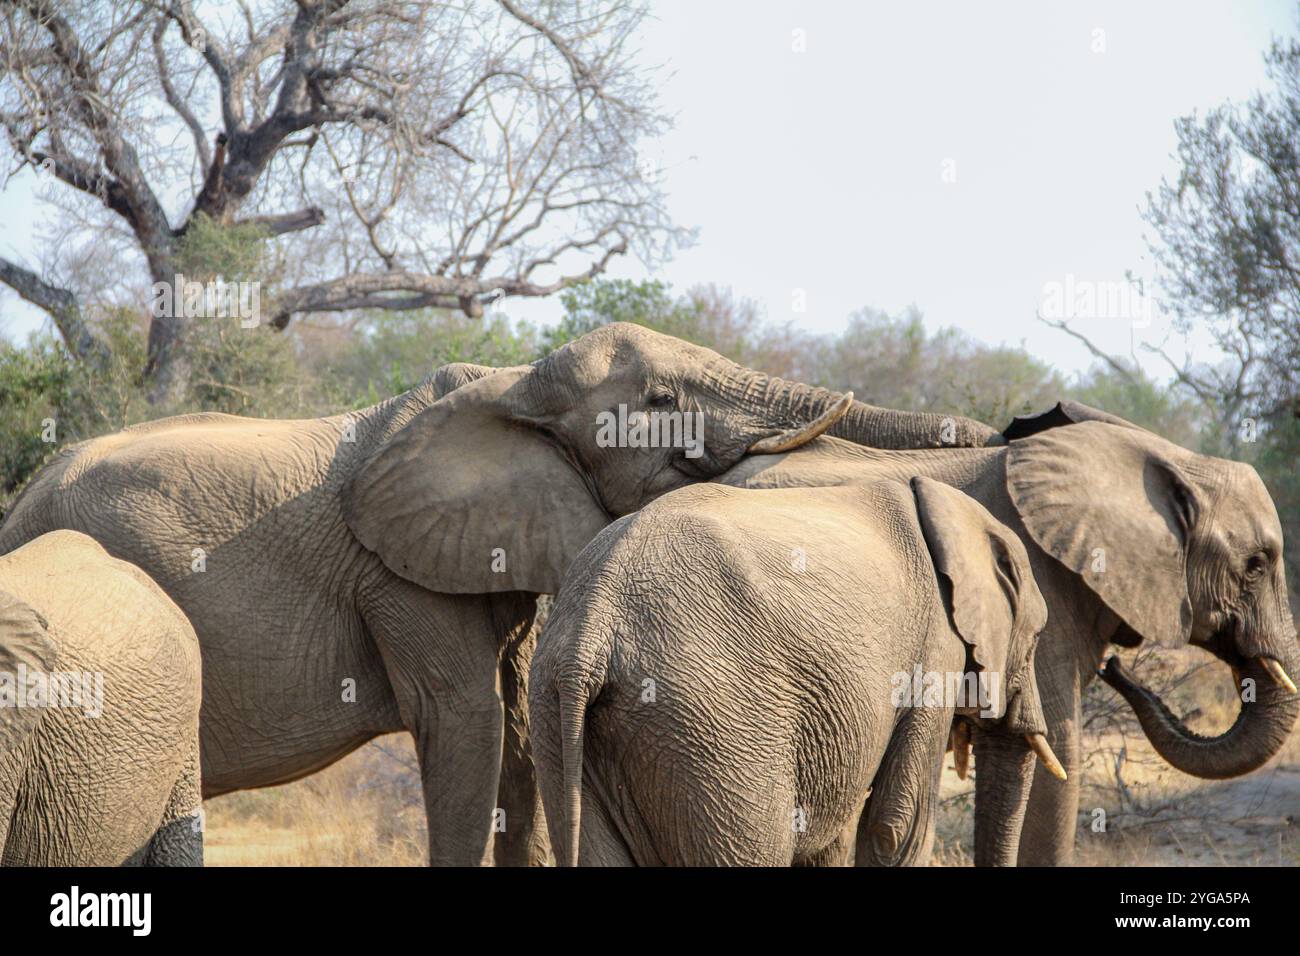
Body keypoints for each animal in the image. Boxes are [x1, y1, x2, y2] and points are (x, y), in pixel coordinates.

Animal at [527, 478, 1066, 868]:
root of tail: (592, 626)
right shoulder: (934, 649)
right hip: (713, 726)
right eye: (1039, 635)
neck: (946, 510)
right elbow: (897, 828)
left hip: (555, 711)